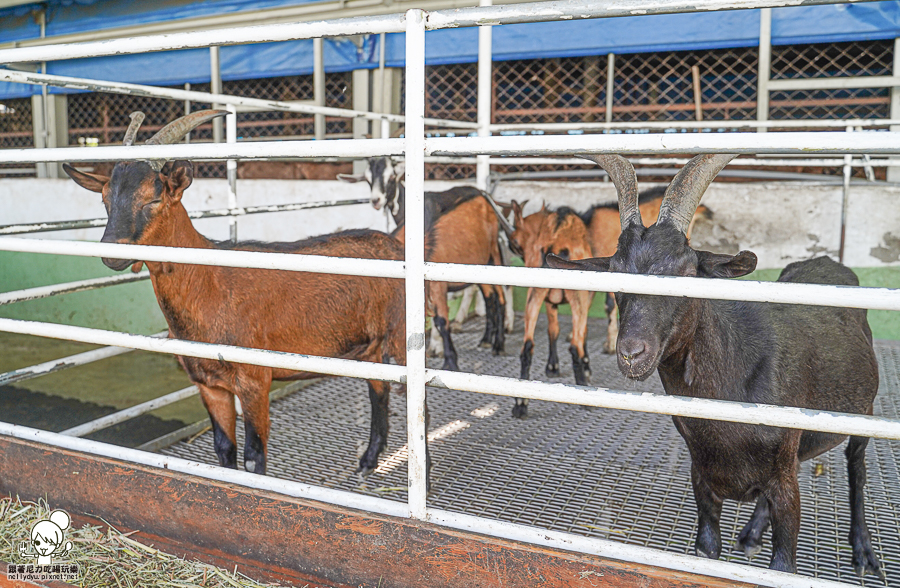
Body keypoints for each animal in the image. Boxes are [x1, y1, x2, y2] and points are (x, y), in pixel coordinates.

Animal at [64, 111, 418, 482]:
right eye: (105, 199)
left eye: (153, 198)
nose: (111, 254)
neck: (210, 284)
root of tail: (393, 243)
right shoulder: (209, 384)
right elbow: (224, 451)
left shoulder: (254, 380)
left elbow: (253, 459)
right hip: (370, 348)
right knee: (379, 391)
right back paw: (368, 461)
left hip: (399, 337)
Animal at [510, 202, 596, 418]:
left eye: (515, 239)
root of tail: (554, 245)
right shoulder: (587, 298)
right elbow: (583, 332)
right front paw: (586, 367)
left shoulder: (549, 301)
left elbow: (553, 329)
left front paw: (552, 366)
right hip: (578, 295)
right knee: (575, 344)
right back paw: (584, 394)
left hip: (534, 293)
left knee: (527, 346)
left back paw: (521, 404)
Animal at [548, 154, 880, 576]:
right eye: (614, 276)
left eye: (688, 272)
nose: (631, 352)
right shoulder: (703, 480)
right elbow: (708, 546)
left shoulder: (785, 487)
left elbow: (783, 561)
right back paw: (752, 533)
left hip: (863, 412)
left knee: (857, 468)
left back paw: (863, 550)